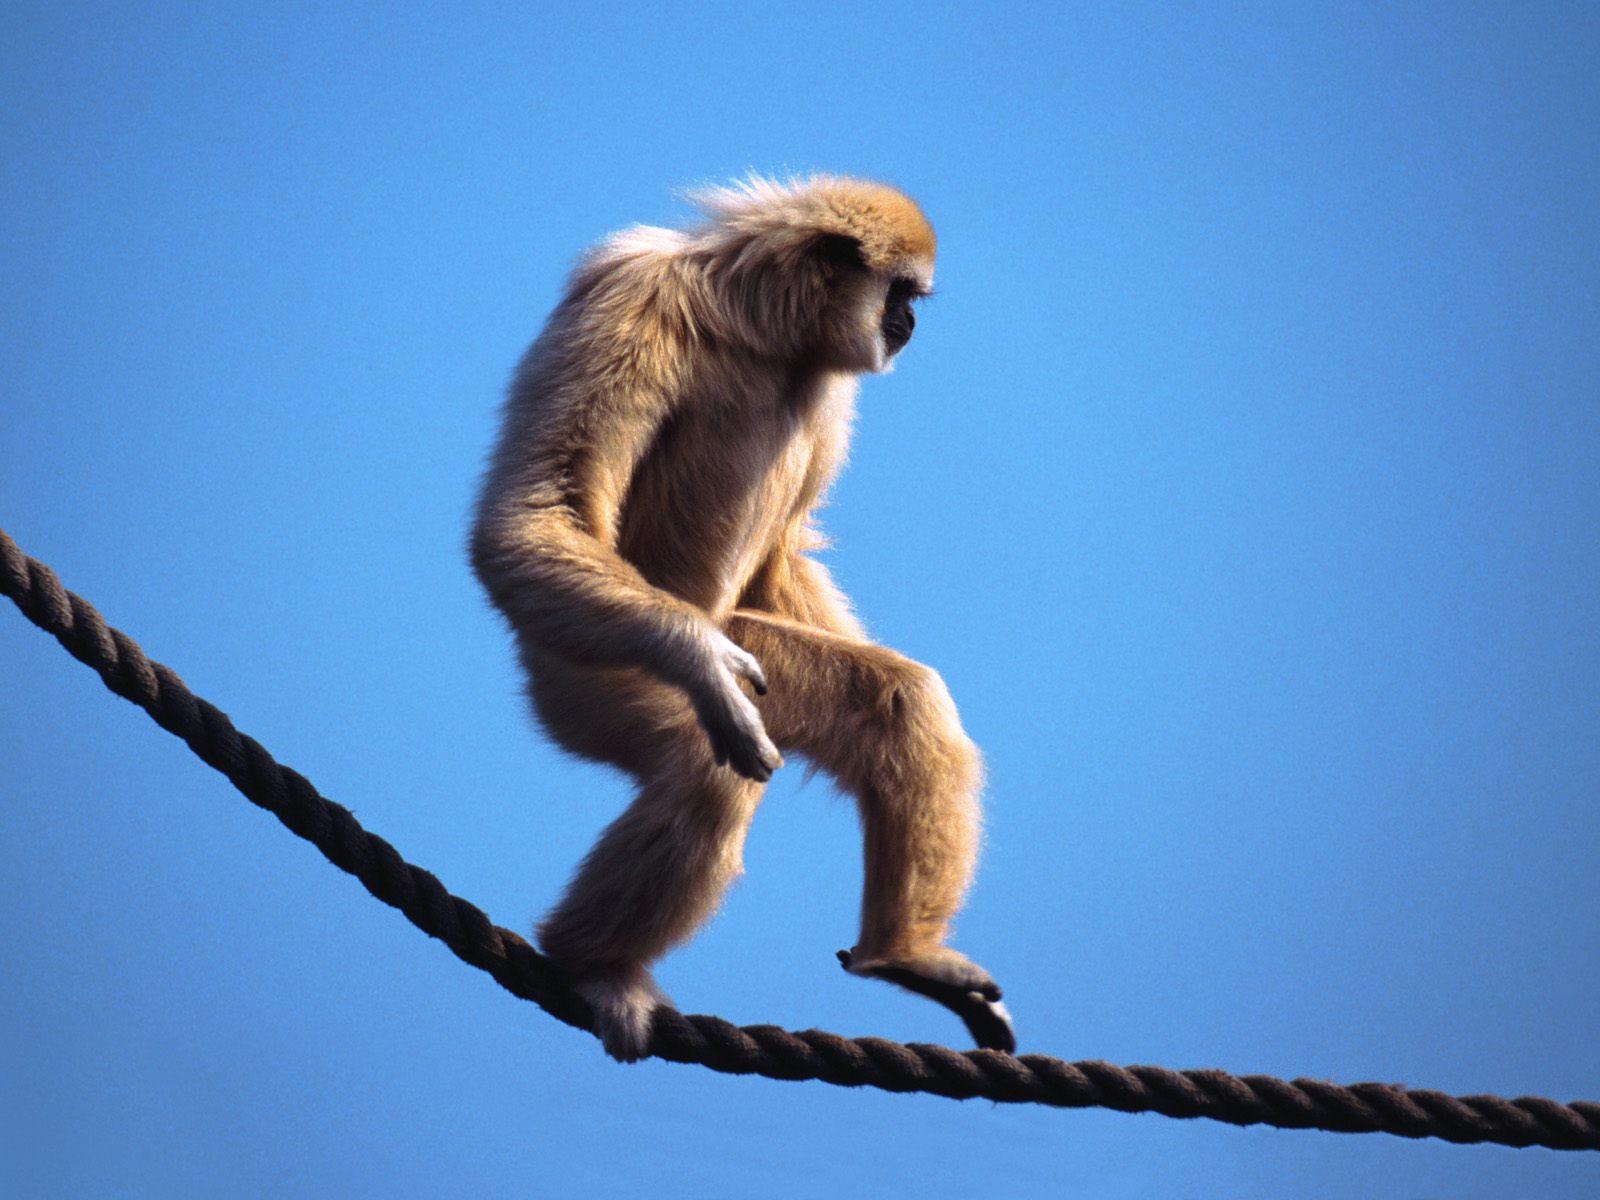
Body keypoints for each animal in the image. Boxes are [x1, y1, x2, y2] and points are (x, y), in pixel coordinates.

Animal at [469, 175, 1013, 1061]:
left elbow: (784, 556)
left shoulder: (828, 384)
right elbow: (533, 514)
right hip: (583, 665)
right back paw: (591, 966)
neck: (754, 326)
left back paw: (902, 955)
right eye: (901, 294)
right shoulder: (630, 295)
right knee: (706, 767)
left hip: (730, 647)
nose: (909, 324)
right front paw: (699, 661)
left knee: (900, 702)